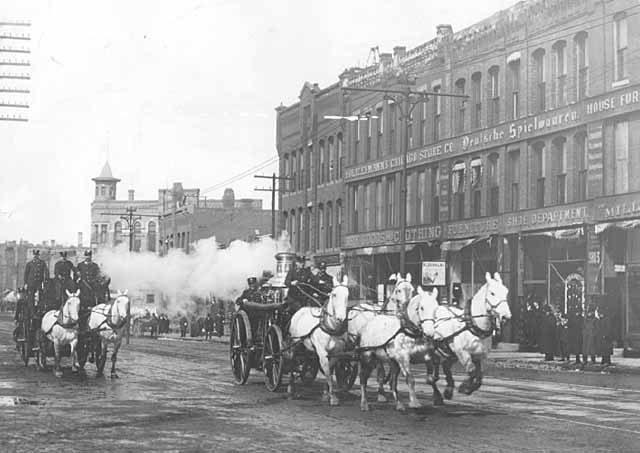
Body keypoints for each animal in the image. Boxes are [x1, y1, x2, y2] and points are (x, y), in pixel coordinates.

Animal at [288, 276, 350, 406]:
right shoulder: (322, 352)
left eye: (347, 295)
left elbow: (329, 371)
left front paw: (326, 393)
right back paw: (291, 389)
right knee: (292, 361)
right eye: (334, 294)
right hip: (294, 344)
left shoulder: (336, 353)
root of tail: (300, 310)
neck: (331, 327)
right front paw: (333, 397)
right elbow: (327, 372)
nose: (341, 318)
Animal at [356, 276, 440, 410]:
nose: (430, 332)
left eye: (436, 308)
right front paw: (414, 402)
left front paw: (437, 396)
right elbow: (410, 379)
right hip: (368, 357)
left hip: (392, 361)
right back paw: (364, 403)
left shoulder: (425, 356)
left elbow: (433, 375)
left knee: (393, 381)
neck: (409, 330)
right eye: (421, 308)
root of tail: (367, 325)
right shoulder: (403, 357)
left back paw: (399, 404)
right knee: (363, 377)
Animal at [424, 268, 510, 400]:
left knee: (445, 365)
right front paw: (465, 387)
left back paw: (448, 389)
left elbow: (479, 377)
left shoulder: (480, 356)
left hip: (450, 352)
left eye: (506, 292)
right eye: (492, 293)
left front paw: (466, 387)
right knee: (432, 369)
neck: (473, 326)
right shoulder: (463, 353)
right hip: (435, 349)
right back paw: (436, 392)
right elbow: (472, 372)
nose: (506, 316)